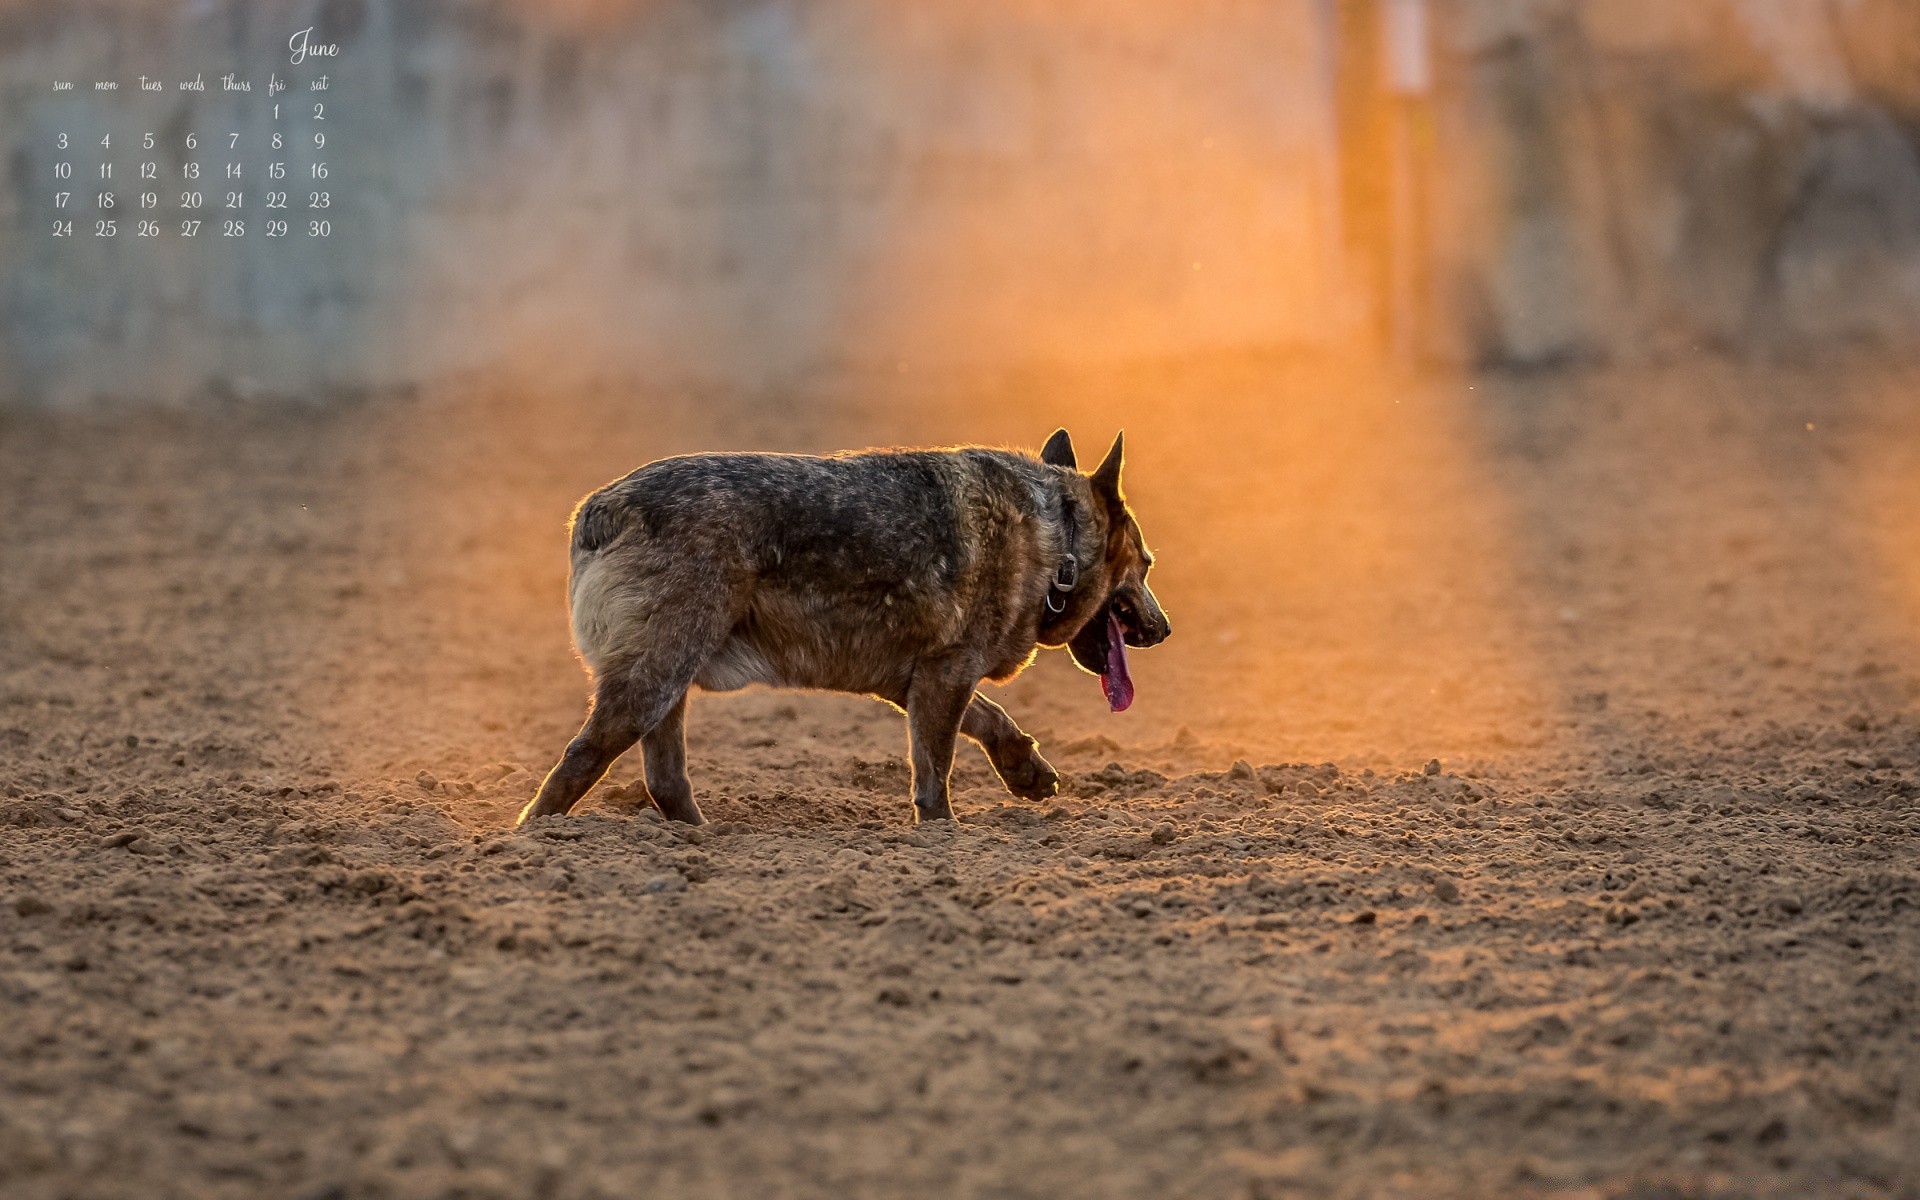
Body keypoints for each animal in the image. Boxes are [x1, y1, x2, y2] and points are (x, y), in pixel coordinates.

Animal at [514, 426, 1167, 829]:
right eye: (1147, 564)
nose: (1163, 630)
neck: (1056, 542)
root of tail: (599, 511)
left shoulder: (916, 680)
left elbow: (990, 718)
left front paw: (1025, 769)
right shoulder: (944, 677)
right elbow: (935, 772)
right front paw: (944, 837)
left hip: (667, 685)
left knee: (664, 779)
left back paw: (703, 838)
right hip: (652, 681)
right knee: (578, 763)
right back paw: (532, 844)